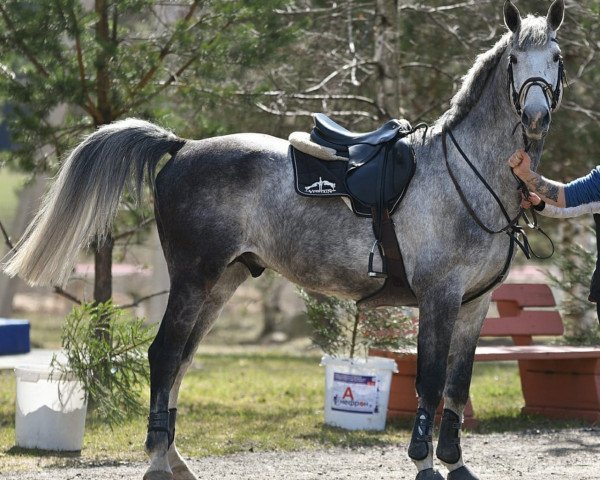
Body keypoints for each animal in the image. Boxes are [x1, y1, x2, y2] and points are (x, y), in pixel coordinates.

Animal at [3, 0, 568, 480]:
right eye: (516, 58)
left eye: (557, 57)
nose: (537, 117)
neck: (466, 174)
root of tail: (182, 147)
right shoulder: (439, 298)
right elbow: (429, 382)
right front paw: (424, 462)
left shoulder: (474, 304)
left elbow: (457, 383)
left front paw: (453, 461)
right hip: (193, 279)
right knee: (163, 356)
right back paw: (158, 462)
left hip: (222, 283)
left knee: (182, 358)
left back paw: (176, 459)